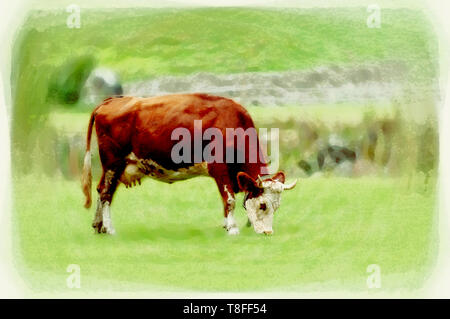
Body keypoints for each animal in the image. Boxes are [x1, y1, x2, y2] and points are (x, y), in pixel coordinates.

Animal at [81, 94, 298, 236]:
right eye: (263, 205)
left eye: (276, 206)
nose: (268, 232)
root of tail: (111, 100)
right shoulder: (219, 168)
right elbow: (229, 200)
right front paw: (233, 228)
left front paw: (227, 224)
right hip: (113, 163)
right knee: (106, 194)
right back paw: (109, 228)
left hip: (116, 167)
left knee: (101, 190)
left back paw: (98, 225)